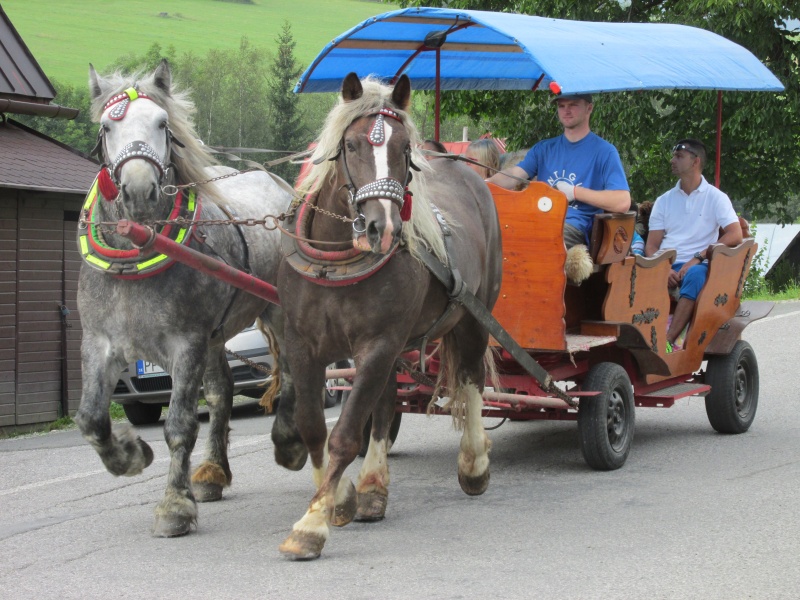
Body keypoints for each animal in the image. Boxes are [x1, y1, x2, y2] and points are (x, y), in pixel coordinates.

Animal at [74, 59, 293, 537]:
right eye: (107, 126)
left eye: (162, 123)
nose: (139, 190)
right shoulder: (100, 343)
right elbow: (91, 419)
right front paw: (133, 455)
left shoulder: (185, 343)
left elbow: (179, 424)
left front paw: (174, 506)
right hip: (217, 335)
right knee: (223, 391)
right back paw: (212, 473)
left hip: (279, 314)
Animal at [274, 73, 503, 559]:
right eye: (352, 144)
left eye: (403, 149)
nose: (384, 227)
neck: (336, 261)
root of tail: (467, 172)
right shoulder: (302, 345)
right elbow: (315, 427)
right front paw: (340, 497)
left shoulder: (378, 342)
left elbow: (344, 434)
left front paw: (312, 524)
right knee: (385, 403)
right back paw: (373, 487)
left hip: (474, 316)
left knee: (471, 378)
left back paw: (474, 462)